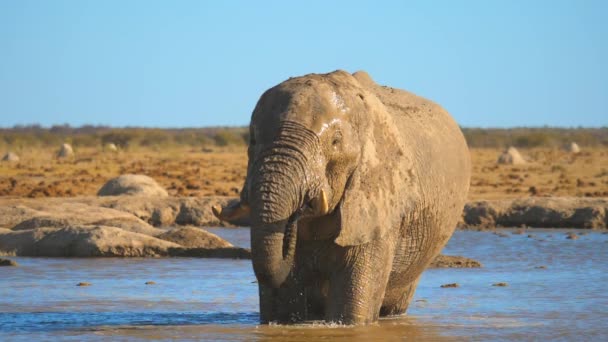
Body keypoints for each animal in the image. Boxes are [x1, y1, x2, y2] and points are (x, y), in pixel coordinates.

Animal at [213, 69, 470, 324]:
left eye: (335, 142)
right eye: (253, 140)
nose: (298, 211)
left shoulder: (380, 205)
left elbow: (350, 313)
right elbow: (279, 309)